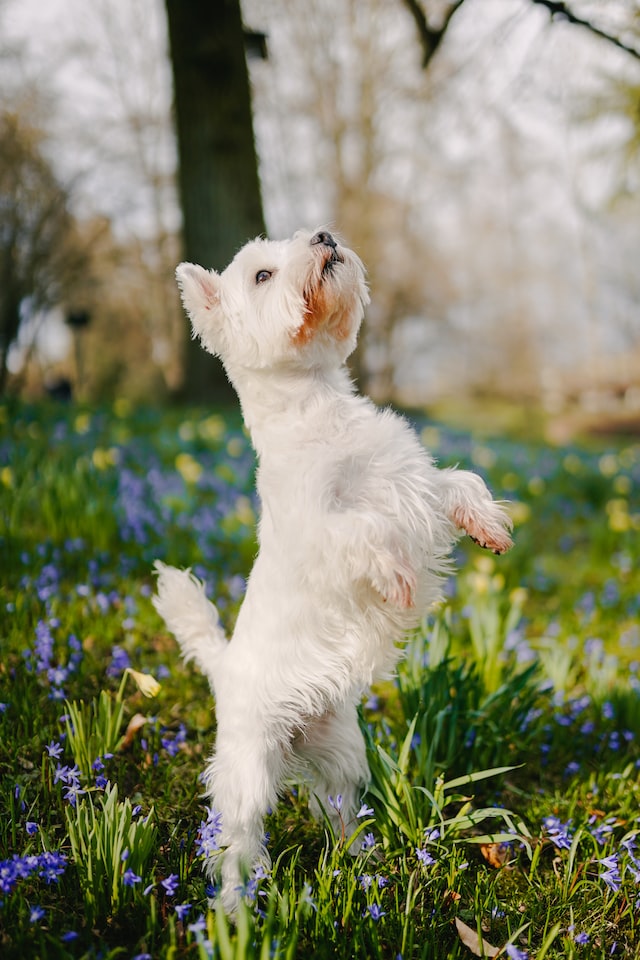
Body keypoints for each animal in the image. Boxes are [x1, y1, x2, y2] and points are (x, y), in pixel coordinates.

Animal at [151, 229, 516, 912]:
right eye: (262, 274)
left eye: (294, 239)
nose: (323, 236)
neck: (318, 408)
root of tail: (225, 669)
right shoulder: (325, 527)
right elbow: (367, 535)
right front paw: (399, 579)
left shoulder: (415, 485)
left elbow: (461, 481)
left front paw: (488, 526)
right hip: (249, 769)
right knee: (238, 841)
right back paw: (236, 909)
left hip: (343, 749)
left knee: (339, 810)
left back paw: (364, 864)